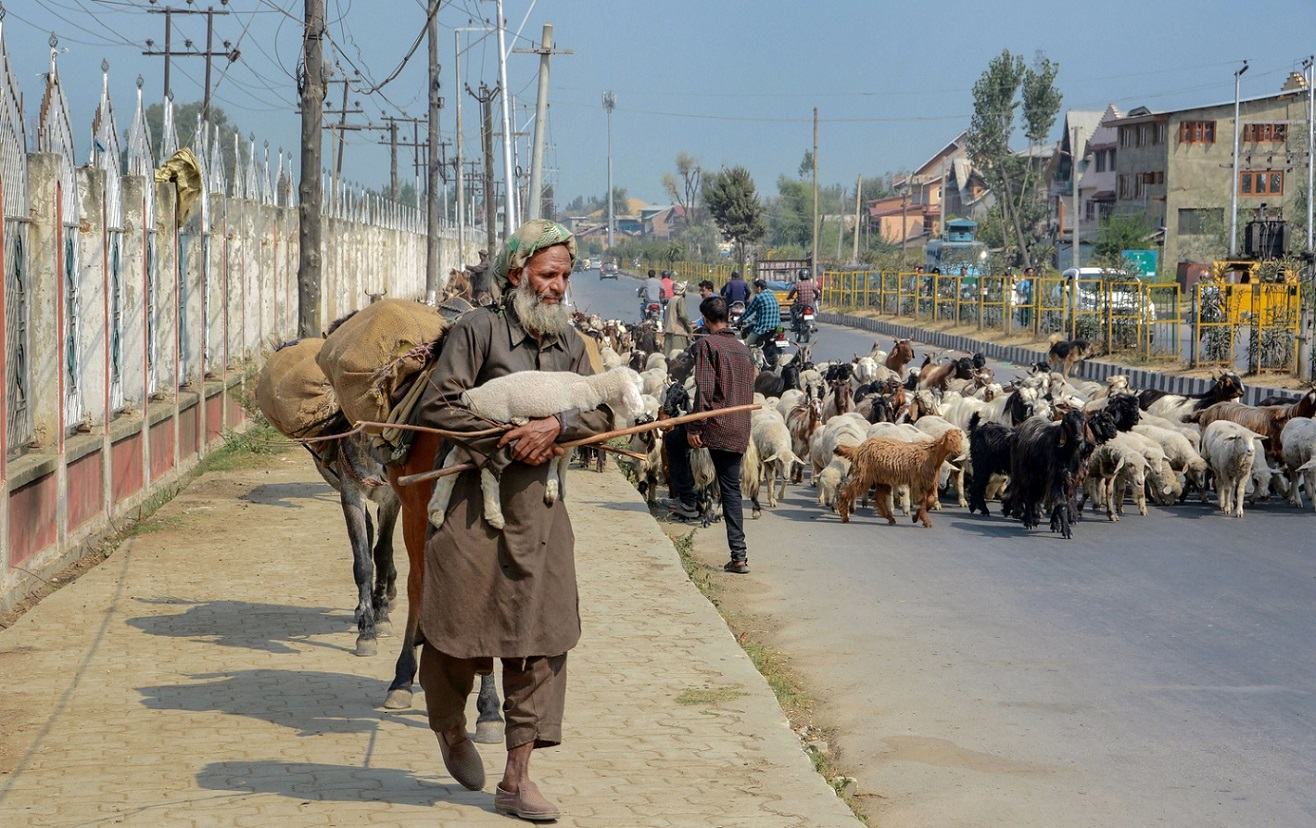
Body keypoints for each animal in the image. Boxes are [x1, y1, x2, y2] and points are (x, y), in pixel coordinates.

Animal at [426, 365, 642, 529]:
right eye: (638, 389)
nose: (643, 417)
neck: (592, 386)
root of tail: (471, 395)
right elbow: (562, 458)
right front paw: (558, 487)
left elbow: (559, 457)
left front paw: (555, 486)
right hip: (493, 426)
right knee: (488, 473)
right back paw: (495, 516)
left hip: (474, 433)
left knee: (452, 463)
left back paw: (436, 511)